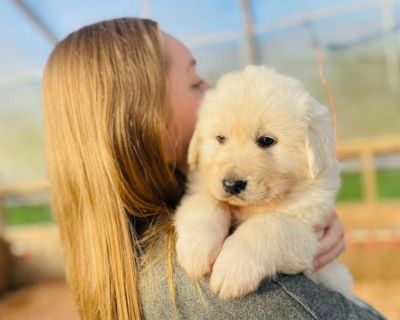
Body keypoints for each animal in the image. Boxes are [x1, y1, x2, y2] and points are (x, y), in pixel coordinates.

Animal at [175, 64, 354, 300]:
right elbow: (206, 202)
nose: (231, 184)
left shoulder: (310, 234)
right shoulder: (202, 186)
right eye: (221, 138)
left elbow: (268, 225)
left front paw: (232, 268)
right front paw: (195, 249)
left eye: (267, 141)